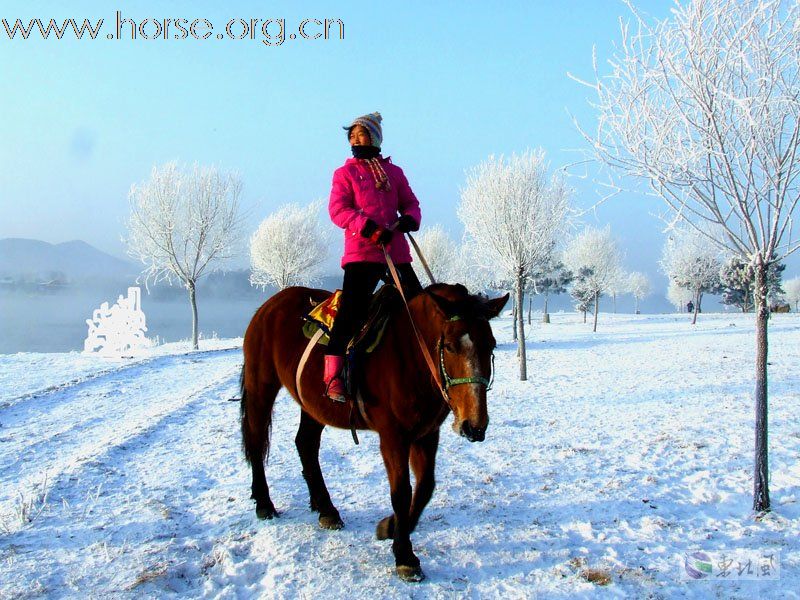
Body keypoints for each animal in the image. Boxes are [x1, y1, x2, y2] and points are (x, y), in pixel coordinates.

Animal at [241, 282, 510, 580]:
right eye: (450, 346)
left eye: (491, 344)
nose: (474, 425)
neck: (409, 354)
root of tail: (269, 306)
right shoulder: (393, 437)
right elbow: (401, 492)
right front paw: (405, 556)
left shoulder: (426, 434)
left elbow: (425, 487)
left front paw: (390, 527)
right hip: (261, 386)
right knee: (256, 440)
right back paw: (264, 503)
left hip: (313, 405)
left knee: (306, 444)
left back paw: (326, 509)